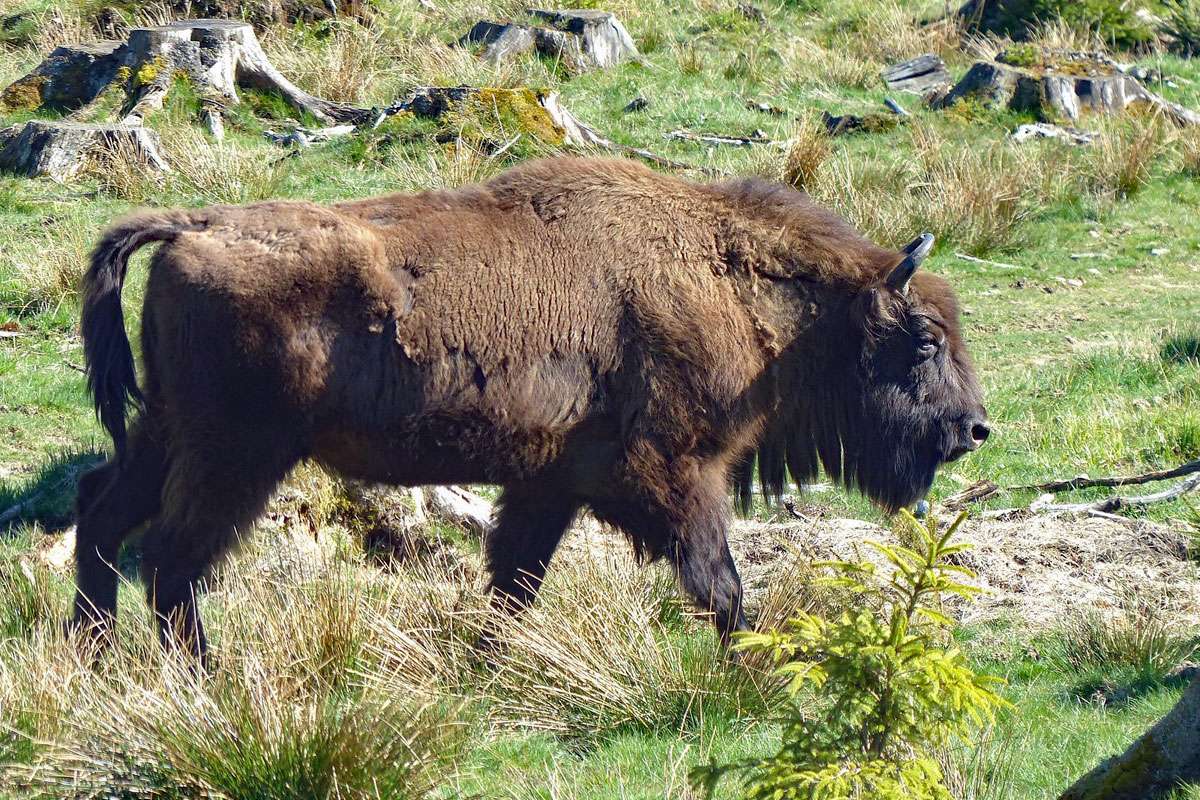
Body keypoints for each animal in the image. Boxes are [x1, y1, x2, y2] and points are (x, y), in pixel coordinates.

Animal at [72, 154, 984, 657]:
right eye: (924, 340)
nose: (973, 428)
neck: (722, 275)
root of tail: (191, 227)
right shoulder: (677, 476)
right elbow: (718, 584)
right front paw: (750, 672)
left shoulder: (550, 484)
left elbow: (515, 580)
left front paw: (487, 666)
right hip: (237, 455)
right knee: (174, 561)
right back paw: (202, 678)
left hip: (167, 433)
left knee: (104, 519)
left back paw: (96, 658)